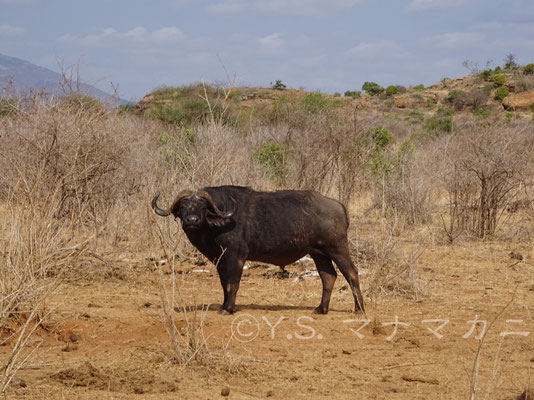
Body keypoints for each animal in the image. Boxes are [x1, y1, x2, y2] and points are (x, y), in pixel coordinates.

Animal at [153, 186, 366, 314]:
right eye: (183, 207)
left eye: (203, 207)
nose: (191, 220)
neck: (218, 223)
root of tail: (338, 205)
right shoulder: (220, 260)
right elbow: (224, 283)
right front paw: (224, 305)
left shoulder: (236, 257)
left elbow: (232, 284)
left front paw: (229, 308)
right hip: (318, 253)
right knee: (328, 277)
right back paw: (321, 309)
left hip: (337, 248)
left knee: (351, 272)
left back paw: (359, 308)